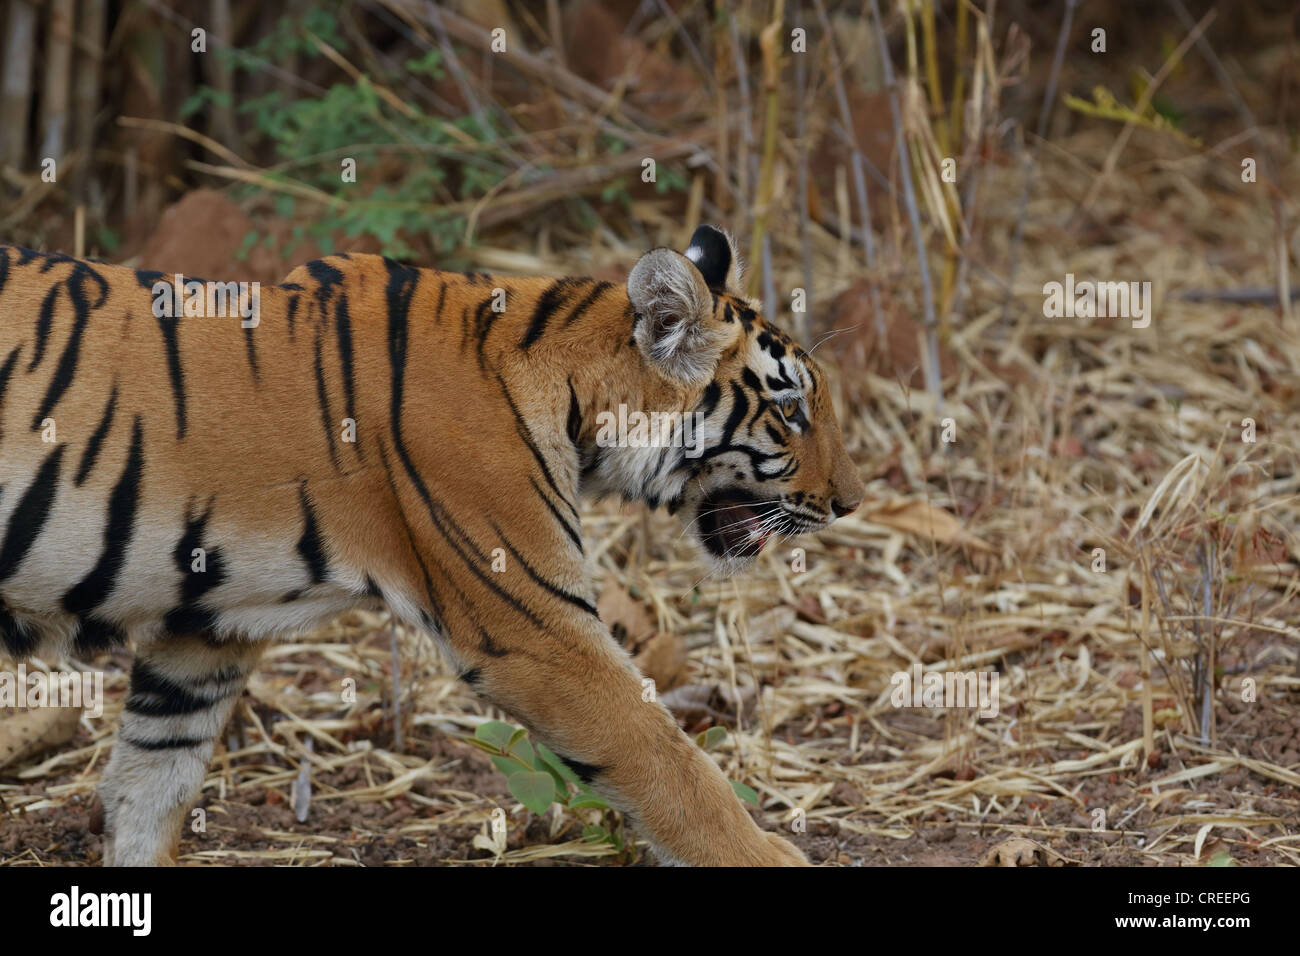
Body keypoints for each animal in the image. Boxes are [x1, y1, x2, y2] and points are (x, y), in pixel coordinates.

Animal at [5, 223, 868, 868]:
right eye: (790, 411)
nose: (851, 502)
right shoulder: (535, 626)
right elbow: (666, 757)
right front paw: (769, 857)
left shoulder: (207, 628)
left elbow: (152, 781)